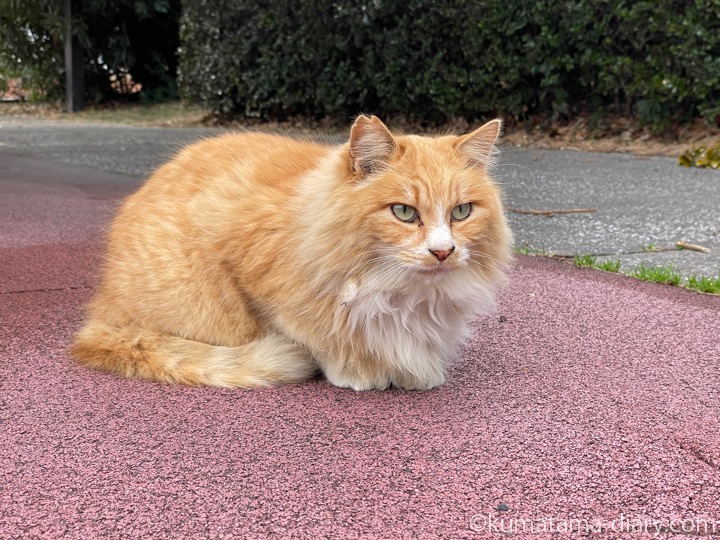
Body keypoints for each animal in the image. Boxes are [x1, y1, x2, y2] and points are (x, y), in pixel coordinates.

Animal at [71, 115, 512, 392]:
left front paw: (415, 370)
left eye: (461, 212)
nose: (443, 251)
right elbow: (321, 337)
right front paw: (359, 371)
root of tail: (101, 314)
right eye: (404, 212)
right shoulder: (260, 280)